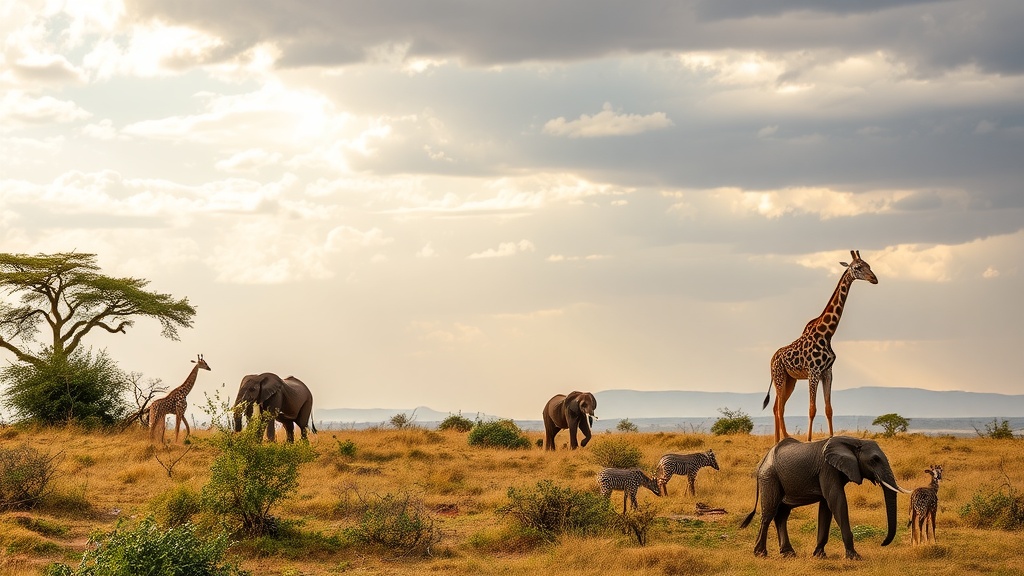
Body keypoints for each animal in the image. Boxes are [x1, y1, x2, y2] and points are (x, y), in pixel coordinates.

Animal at [741, 434, 909, 557]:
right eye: (874, 460)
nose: (882, 543)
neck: (854, 441)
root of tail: (762, 461)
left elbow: (826, 507)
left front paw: (819, 555)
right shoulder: (827, 468)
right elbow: (836, 501)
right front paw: (854, 556)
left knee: (782, 514)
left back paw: (788, 554)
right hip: (769, 476)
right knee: (769, 514)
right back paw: (760, 554)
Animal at [765, 249, 876, 440]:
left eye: (868, 264)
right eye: (857, 267)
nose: (874, 278)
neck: (827, 334)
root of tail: (772, 359)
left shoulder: (827, 372)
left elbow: (828, 409)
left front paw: (831, 437)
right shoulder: (813, 371)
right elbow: (812, 409)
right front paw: (809, 439)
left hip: (790, 380)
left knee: (776, 407)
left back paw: (778, 440)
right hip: (779, 376)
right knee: (779, 408)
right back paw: (785, 438)